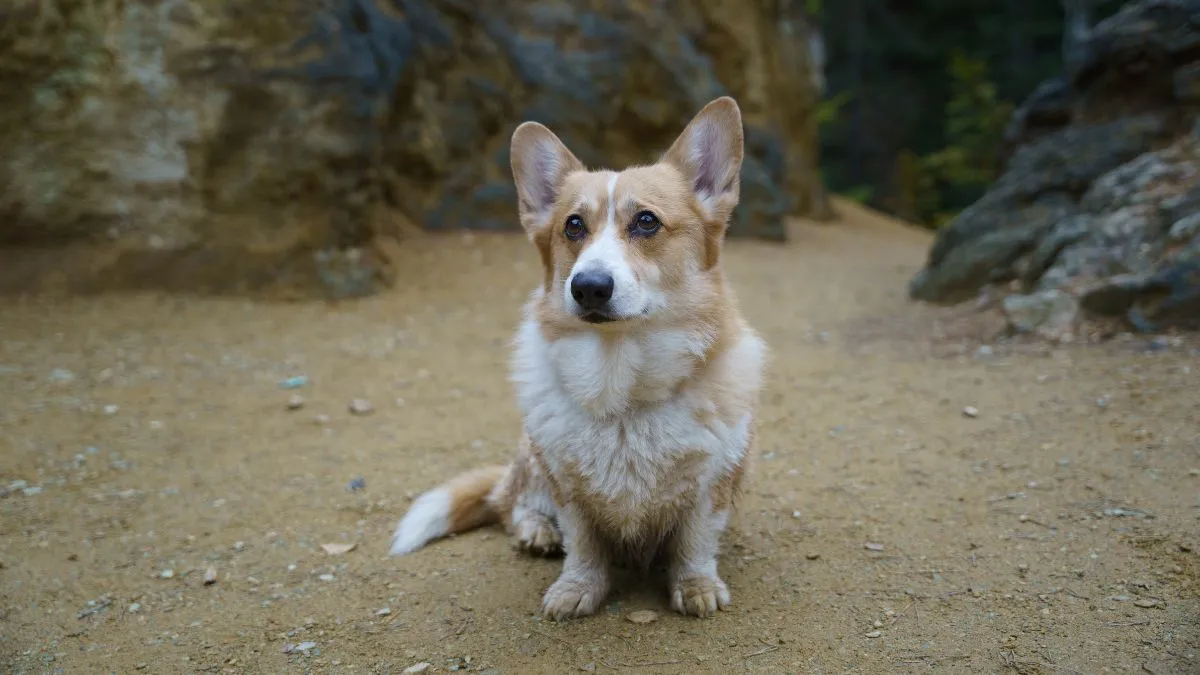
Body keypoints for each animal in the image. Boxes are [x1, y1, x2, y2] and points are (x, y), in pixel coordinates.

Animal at [391, 97, 768, 619]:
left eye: (646, 221)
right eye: (573, 226)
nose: (588, 286)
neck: (622, 389)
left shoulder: (712, 484)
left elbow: (695, 543)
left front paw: (696, 587)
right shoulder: (566, 487)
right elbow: (583, 544)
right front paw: (576, 589)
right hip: (530, 456)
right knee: (509, 502)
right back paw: (536, 530)